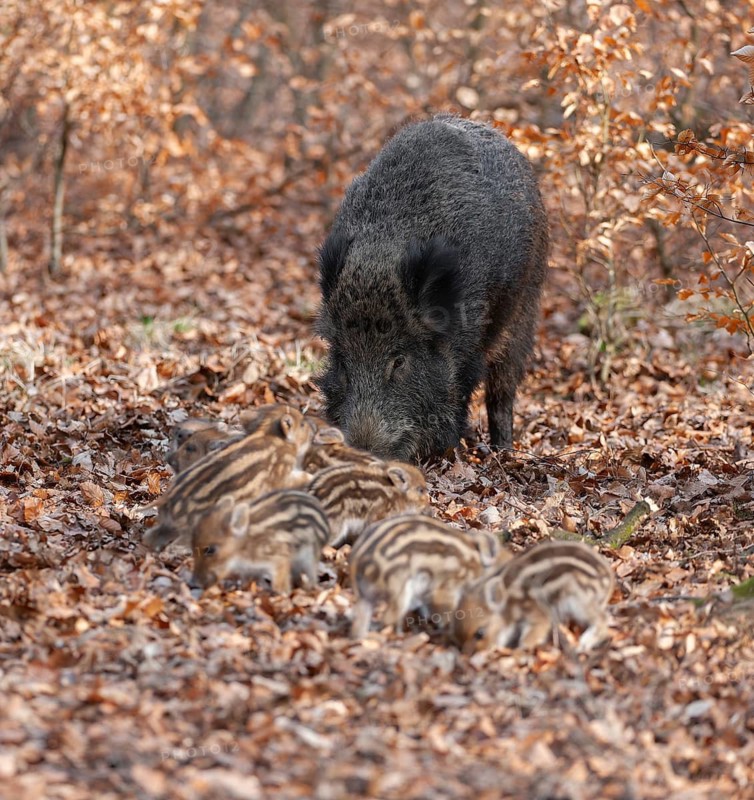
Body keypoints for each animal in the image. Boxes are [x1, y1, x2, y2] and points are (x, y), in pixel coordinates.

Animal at [315, 115, 548, 461]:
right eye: (343, 360)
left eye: (399, 361)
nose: (363, 451)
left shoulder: (469, 345)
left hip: (525, 310)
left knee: (502, 391)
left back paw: (503, 453)